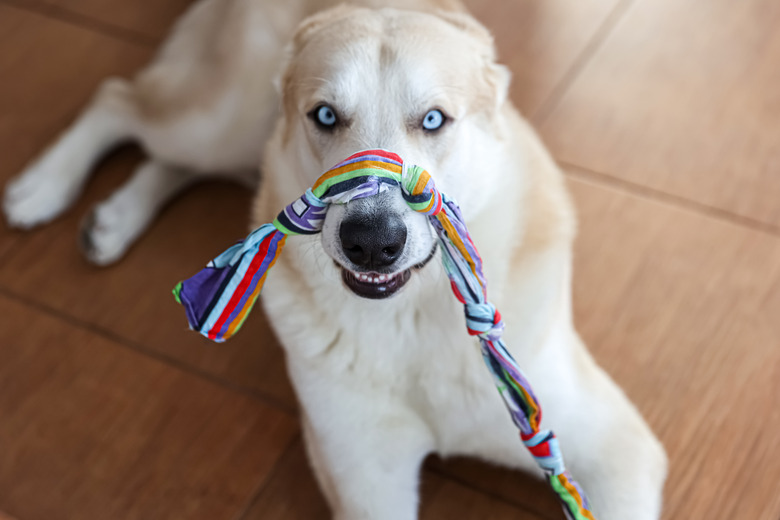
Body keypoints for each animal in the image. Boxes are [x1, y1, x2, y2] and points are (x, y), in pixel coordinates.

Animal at [3, 2, 668, 516]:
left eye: (434, 120)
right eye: (325, 115)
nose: (371, 240)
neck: (411, 323)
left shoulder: (614, 450)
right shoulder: (366, 475)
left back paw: (114, 218)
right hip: (222, 121)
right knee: (119, 99)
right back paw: (44, 186)